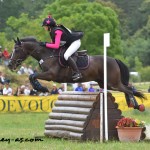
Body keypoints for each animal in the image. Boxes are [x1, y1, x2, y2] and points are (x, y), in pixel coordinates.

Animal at [7, 37, 145, 111]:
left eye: (17, 50)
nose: (9, 65)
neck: (47, 54)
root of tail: (114, 60)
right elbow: (32, 76)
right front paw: (40, 88)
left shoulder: (51, 75)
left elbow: (33, 75)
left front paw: (42, 88)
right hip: (106, 83)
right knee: (128, 88)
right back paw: (132, 104)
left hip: (112, 83)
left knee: (128, 89)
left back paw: (137, 106)